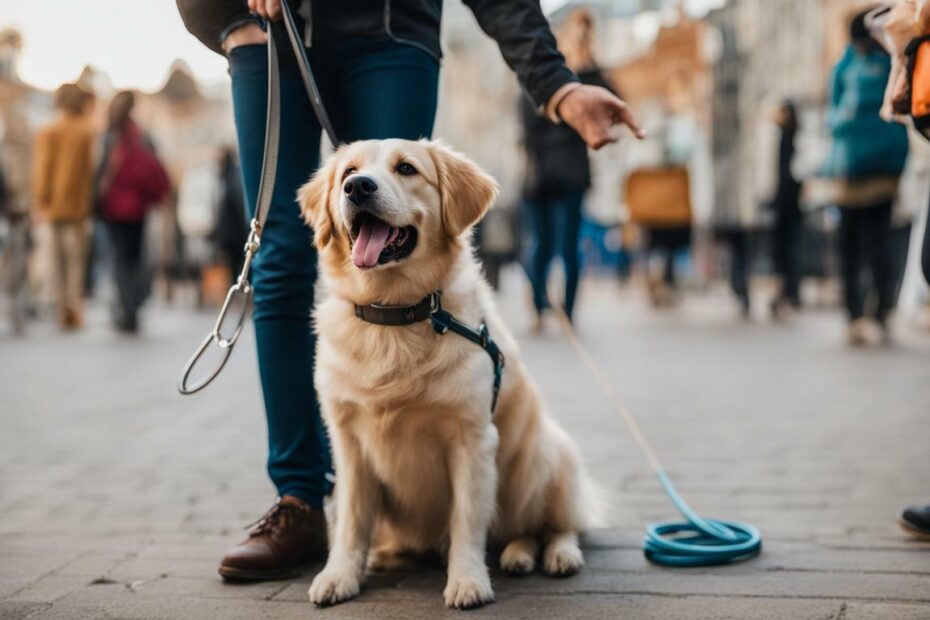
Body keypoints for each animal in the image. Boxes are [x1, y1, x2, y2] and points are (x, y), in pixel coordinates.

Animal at [298, 138, 592, 608]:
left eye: (406, 168)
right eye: (348, 172)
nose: (358, 188)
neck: (395, 316)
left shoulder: (472, 439)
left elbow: (467, 520)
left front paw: (468, 580)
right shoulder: (348, 443)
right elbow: (350, 521)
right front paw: (339, 575)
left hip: (545, 456)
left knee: (552, 524)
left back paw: (555, 554)